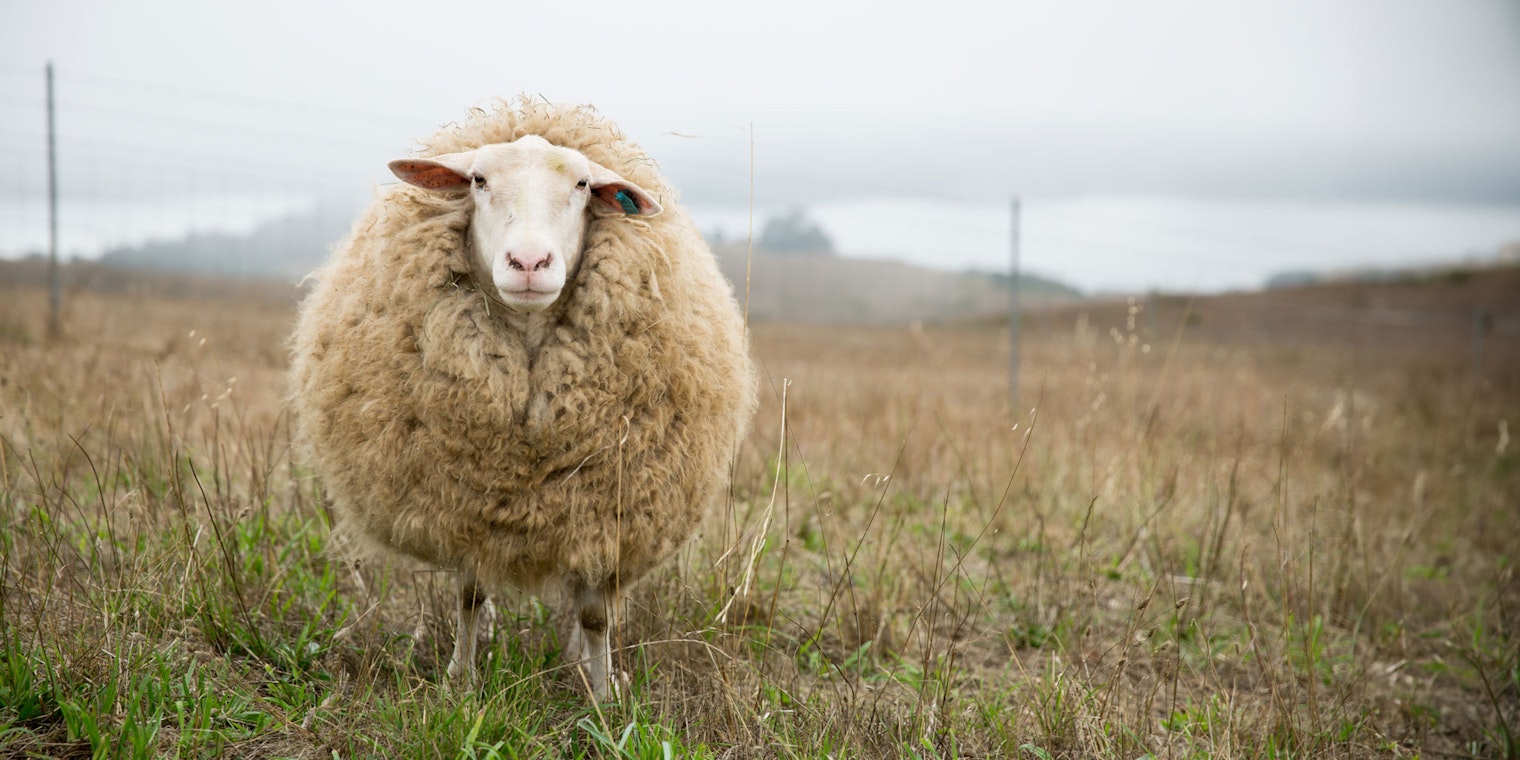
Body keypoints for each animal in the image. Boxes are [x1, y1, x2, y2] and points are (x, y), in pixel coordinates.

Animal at [288, 99, 757, 700]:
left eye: (583, 184)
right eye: (478, 181)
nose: (529, 263)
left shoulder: (606, 513)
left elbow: (596, 616)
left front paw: (604, 695)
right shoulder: (467, 501)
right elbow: (468, 595)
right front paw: (461, 680)